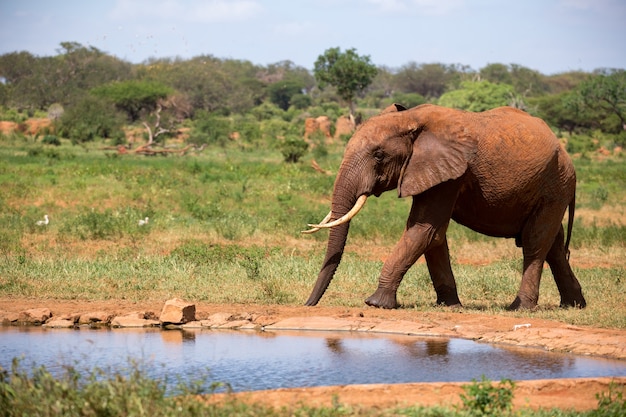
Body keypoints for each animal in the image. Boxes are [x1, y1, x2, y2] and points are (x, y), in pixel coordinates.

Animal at [302, 102, 584, 308]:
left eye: (379, 156)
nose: (308, 304)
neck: (411, 119)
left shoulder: (451, 173)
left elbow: (425, 230)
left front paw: (376, 303)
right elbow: (434, 236)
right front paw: (449, 305)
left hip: (555, 185)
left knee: (535, 242)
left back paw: (520, 307)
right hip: (552, 188)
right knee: (554, 244)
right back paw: (574, 305)